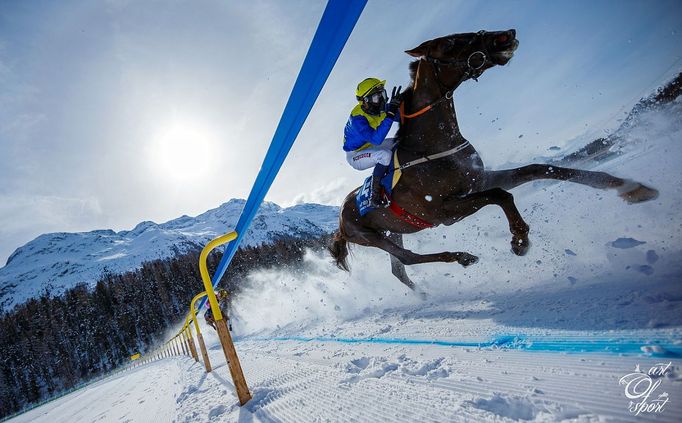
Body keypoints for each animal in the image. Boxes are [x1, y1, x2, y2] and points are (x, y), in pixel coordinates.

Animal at [330, 29, 660, 292]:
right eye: (449, 43)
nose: (504, 35)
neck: (433, 144)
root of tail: (340, 219)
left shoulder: (477, 179)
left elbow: (539, 170)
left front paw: (633, 188)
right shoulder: (443, 212)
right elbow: (500, 195)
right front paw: (519, 240)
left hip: (394, 231)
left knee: (399, 267)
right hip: (371, 236)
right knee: (407, 259)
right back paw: (461, 259)